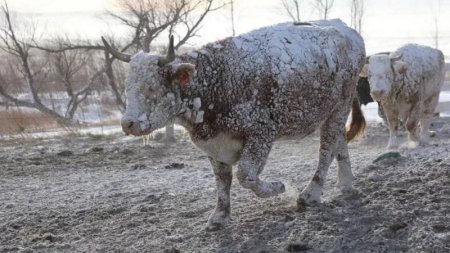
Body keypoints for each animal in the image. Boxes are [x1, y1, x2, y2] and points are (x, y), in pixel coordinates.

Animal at [103, 18, 366, 230]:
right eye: (127, 86)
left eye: (151, 87)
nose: (128, 123)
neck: (216, 81)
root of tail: (347, 30)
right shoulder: (215, 144)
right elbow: (222, 180)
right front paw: (220, 216)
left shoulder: (261, 133)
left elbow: (245, 175)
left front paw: (277, 187)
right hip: (333, 111)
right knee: (339, 142)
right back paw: (345, 183)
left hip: (338, 107)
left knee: (327, 149)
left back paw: (311, 193)